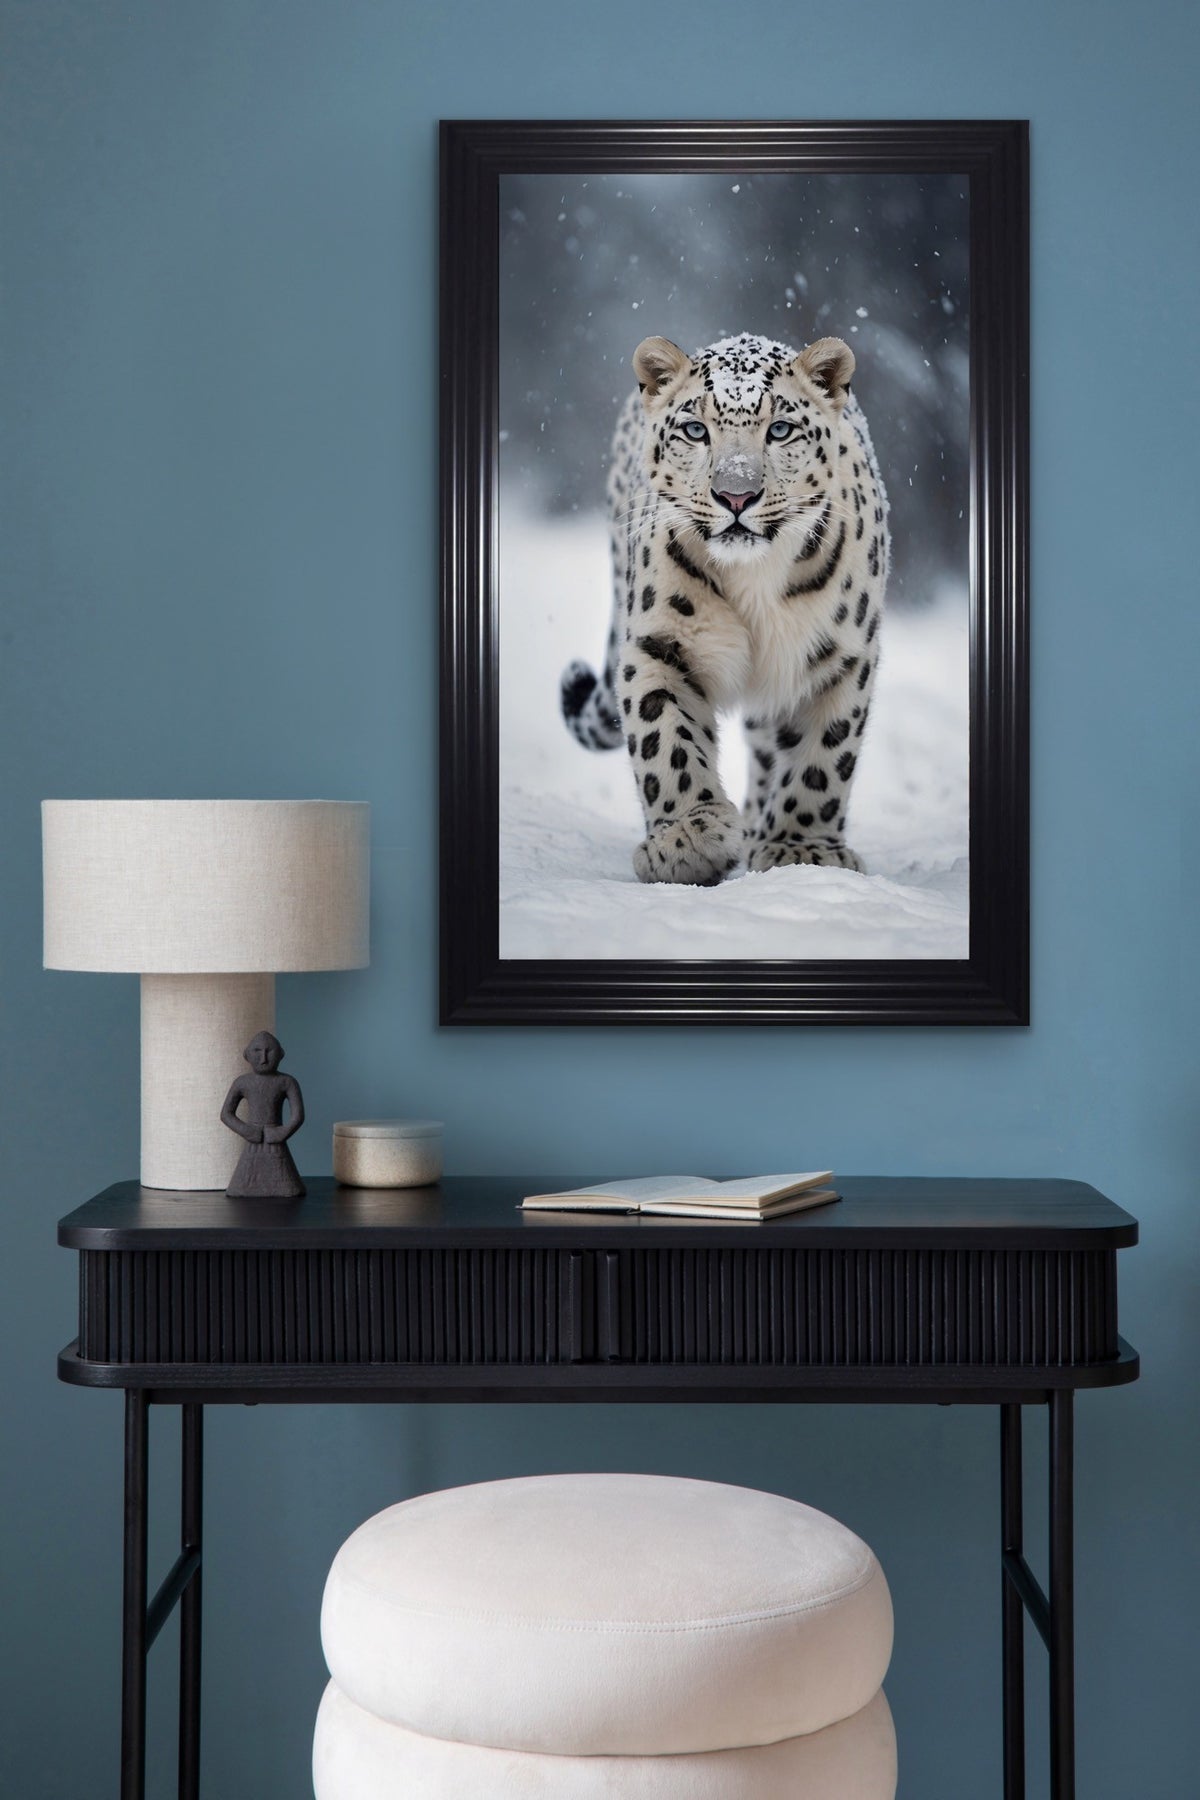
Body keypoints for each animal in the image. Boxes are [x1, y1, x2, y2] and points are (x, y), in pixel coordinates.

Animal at [559, 330, 890, 886]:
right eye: (696, 430)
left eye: (780, 429)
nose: (736, 496)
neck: (753, 581)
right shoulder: (660, 642)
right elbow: (665, 738)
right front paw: (687, 841)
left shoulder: (840, 656)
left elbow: (823, 756)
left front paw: (802, 848)